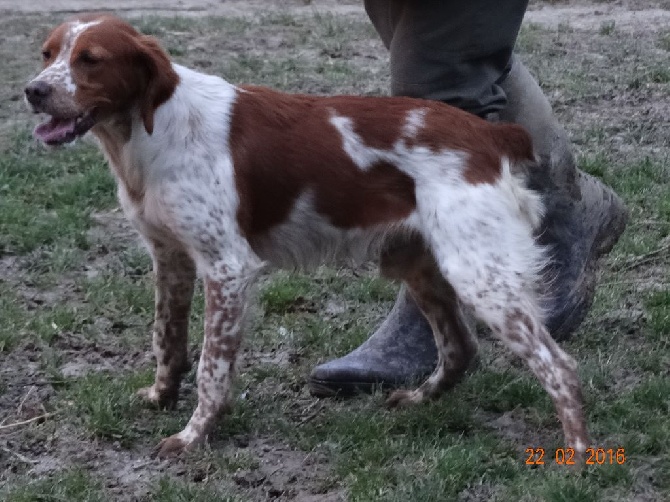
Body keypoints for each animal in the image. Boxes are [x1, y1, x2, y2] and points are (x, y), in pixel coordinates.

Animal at [25, 13, 588, 458]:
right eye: (48, 53)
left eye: (91, 59)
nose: (34, 90)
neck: (150, 129)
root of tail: (489, 134)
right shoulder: (171, 258)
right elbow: (168, 339)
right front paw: (161, 398)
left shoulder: (228, 268)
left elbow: (211, 366)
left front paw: (193, 435)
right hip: (420, 262)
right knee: (460, 347)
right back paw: (418, 399)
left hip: (479, 274)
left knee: (559, 365)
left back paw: (577, 455)